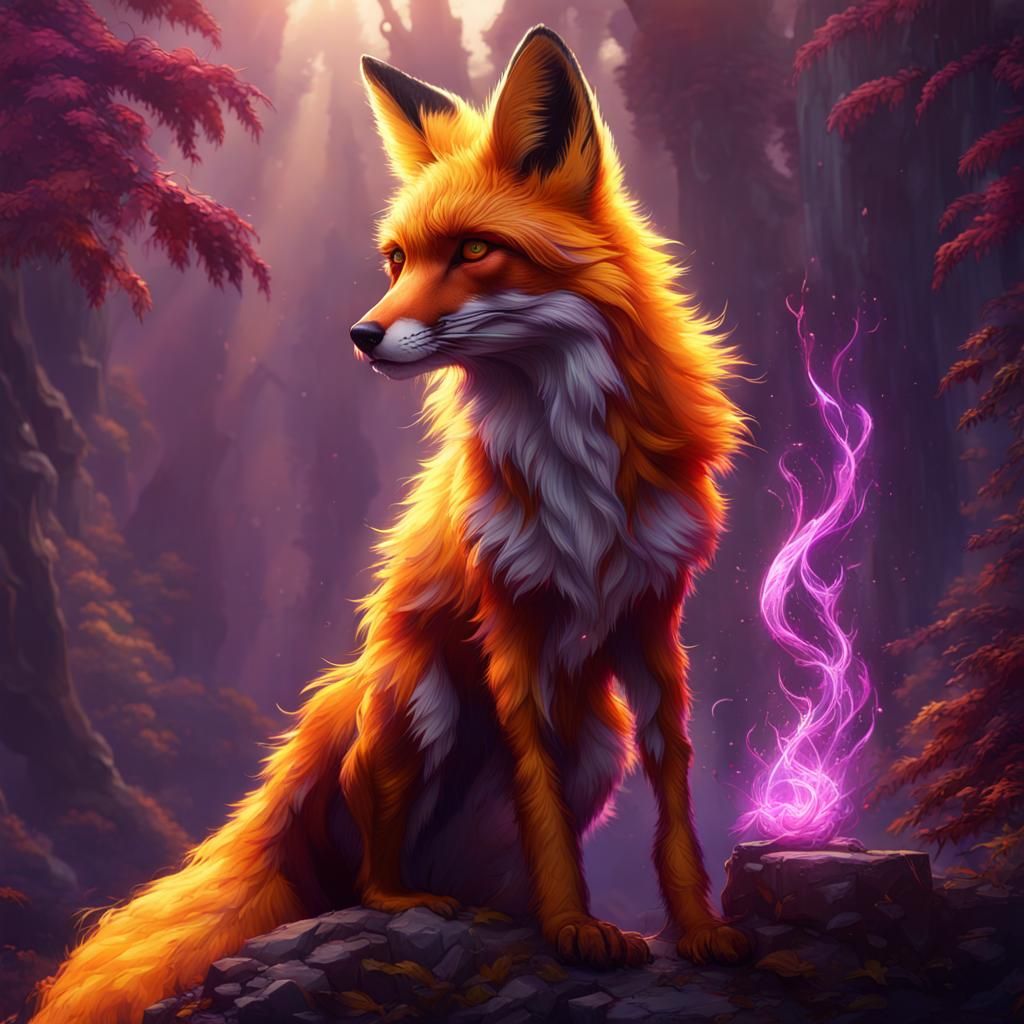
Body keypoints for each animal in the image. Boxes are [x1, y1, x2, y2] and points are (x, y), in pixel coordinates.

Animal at [32, 25, 750, 1024]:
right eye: (397, 260)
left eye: (476, 250)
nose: (361, 337)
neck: (573, 459)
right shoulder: (511, 626)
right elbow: (541, 806)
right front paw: (574, 926)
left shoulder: (655, 620)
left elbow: (672, 794)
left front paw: (696, 928)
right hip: (416, 699)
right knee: (371, 877)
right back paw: (419, 902)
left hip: (593, 737)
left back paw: (503, 912)